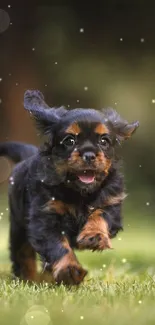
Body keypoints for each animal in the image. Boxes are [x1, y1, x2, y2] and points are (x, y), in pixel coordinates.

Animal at [1, 90, 139, 284]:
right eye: (69, 140)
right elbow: (58, 246)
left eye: (104, 141)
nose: (89, 155)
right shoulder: (45, 217)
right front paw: (69, 270)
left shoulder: (112, 203)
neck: (80, 192)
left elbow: (100, 214)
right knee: (22, 254)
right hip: (18, 225)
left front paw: (94, 236)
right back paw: (29, 278)